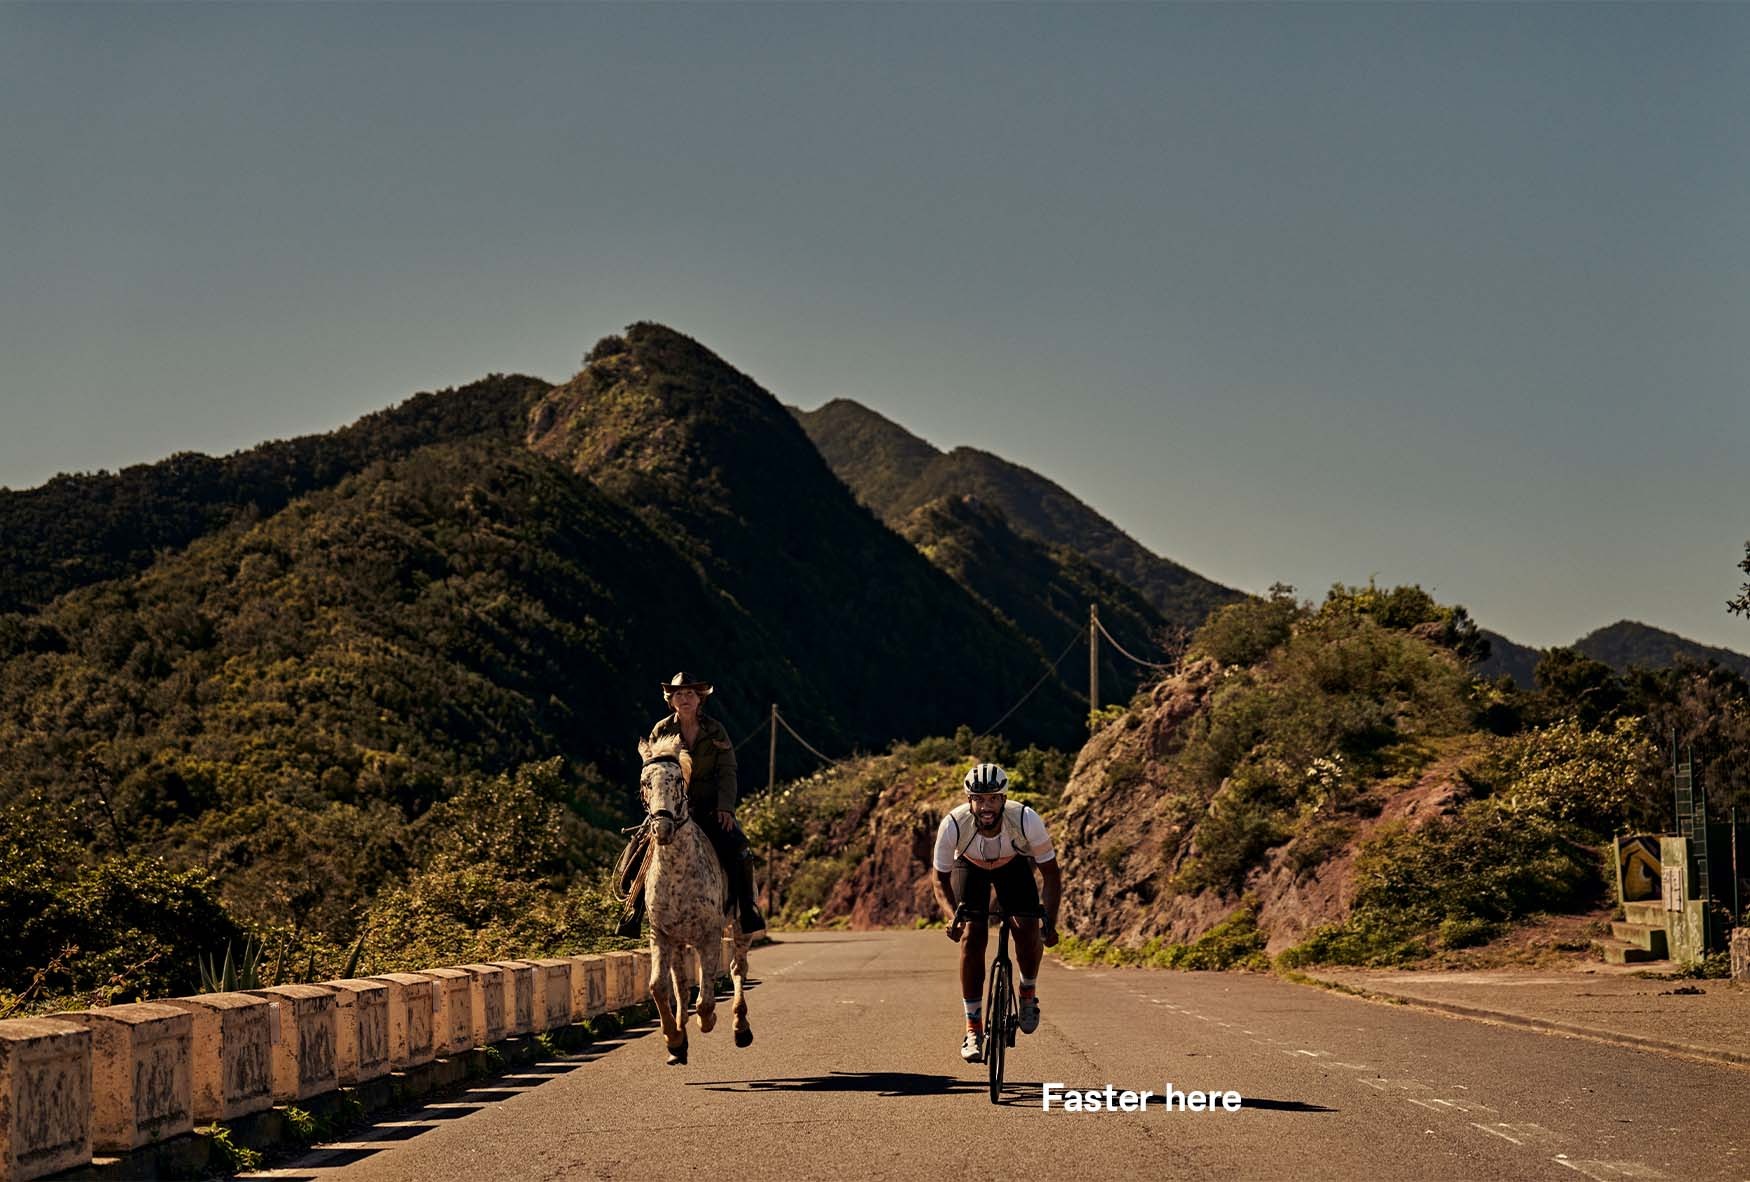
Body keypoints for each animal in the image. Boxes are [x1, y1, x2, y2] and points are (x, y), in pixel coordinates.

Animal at [640, 735, 756, 1064]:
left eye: (678, 780)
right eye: (645, 782)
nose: (663, 828)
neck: (678, 873)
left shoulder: (710, 934)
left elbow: (706, 996)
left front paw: (707, 1020)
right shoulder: (661, 935)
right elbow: (659, 987)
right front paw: (674, 1039)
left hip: (740, 929)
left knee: (737, 969)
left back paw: (741, 1028)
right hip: (681, 942)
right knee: (681, 984)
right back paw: (681, 1038)